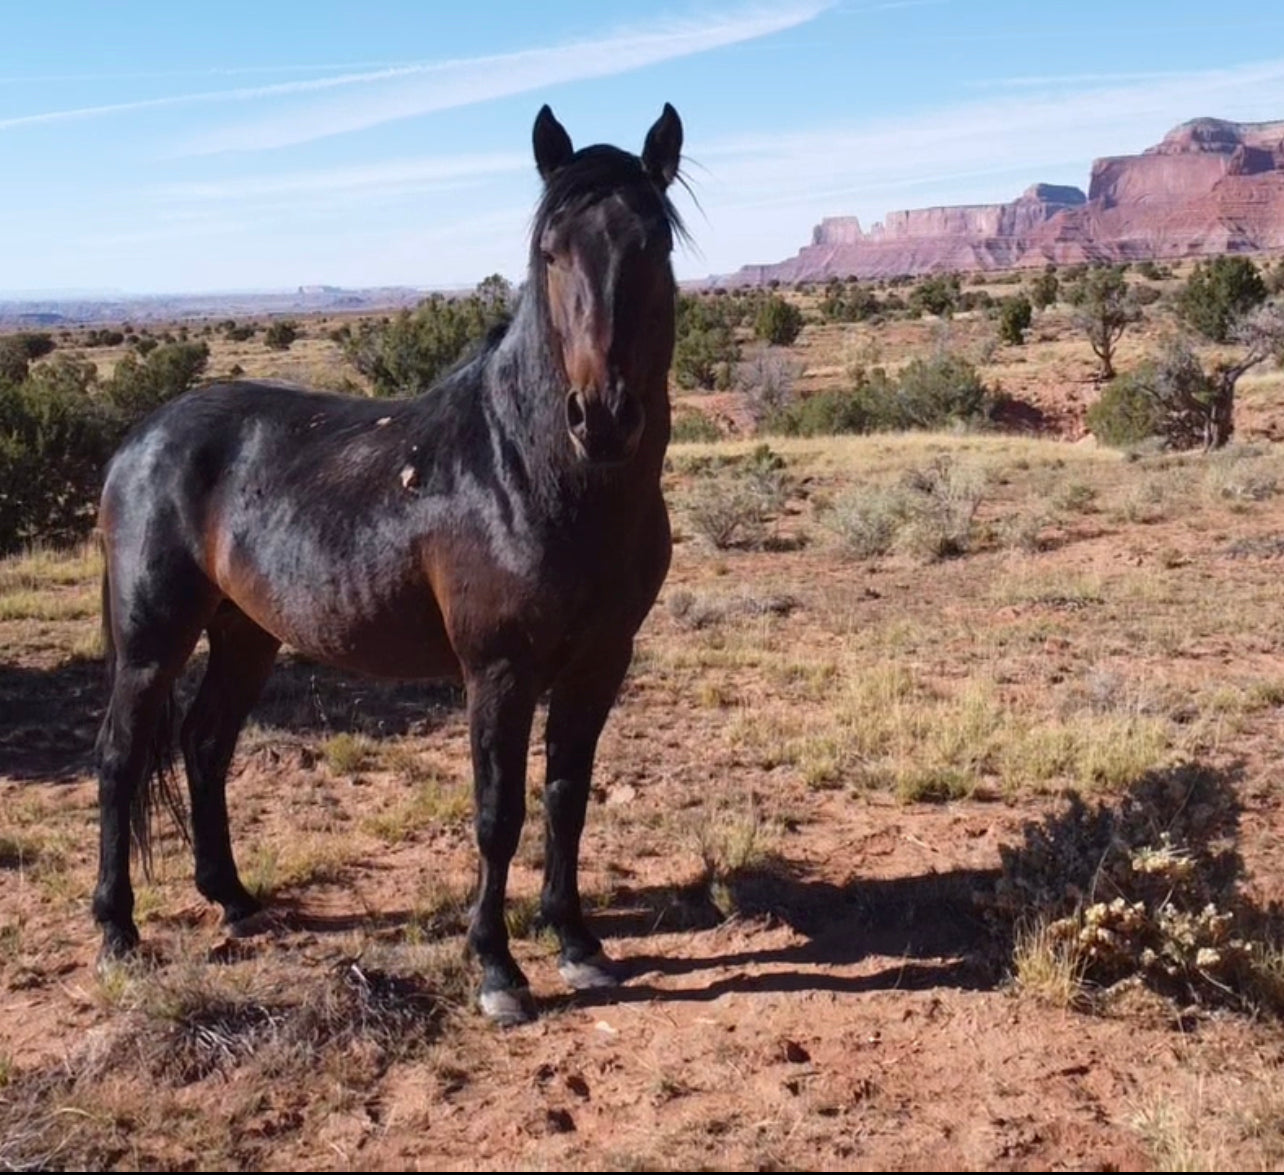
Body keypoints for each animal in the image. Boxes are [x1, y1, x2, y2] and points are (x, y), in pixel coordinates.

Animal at [91, 100, 688, 1022]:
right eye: (552, 252)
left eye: (653, 243)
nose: (603, 417)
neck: (528, 471)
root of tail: (139, 438)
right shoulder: (498, 670)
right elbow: (498, 812)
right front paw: (497, 967)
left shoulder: (601, 661)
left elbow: (566, 796)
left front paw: (578, 943)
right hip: (153, 638)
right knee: (122, 757)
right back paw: (119, 931)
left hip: (246, 633)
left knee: (204, 742)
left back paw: (233, 898)